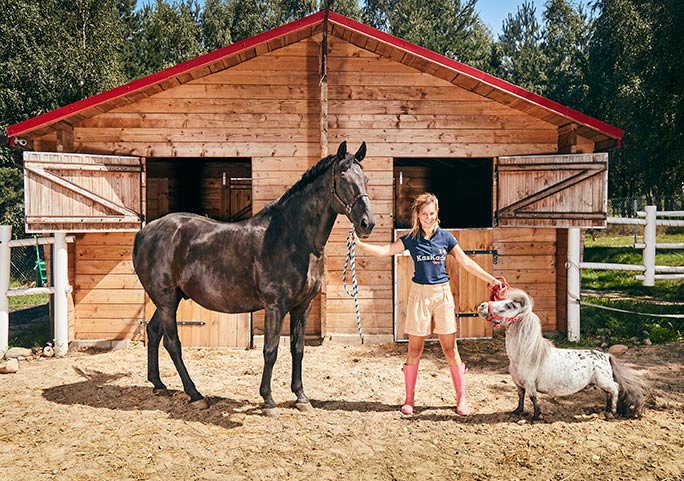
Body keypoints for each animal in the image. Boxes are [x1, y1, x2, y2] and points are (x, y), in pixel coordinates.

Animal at [133, 141, 374, 414]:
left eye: (365, 179)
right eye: (343, 178)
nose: (367, 224)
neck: (293, 236)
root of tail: (144, 232)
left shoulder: (302, 306)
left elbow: (298, 349)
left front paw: (301, 397)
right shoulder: (275, 306)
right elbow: (271, 349)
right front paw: (268, 400)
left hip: (171, 298)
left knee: (153, 332)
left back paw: (159, 385)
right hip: (164, 298)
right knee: (172, 343)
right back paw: (195, 394)